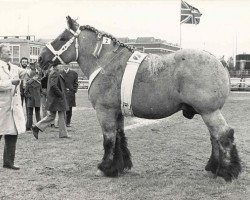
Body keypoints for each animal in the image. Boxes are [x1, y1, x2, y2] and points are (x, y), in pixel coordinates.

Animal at [38, 16, 241, 181]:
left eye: (62, 39)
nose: (40, 59)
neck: (105, 63)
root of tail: (219, 62)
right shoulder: (117, 112)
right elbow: (119, 136)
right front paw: (120, 166)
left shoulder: (105, 111)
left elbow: (109, 139)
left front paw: (105, 168)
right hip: (208, 112)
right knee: (215, 136)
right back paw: (213, 168)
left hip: (209, 112)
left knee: (223, 134)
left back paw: (226, 172)